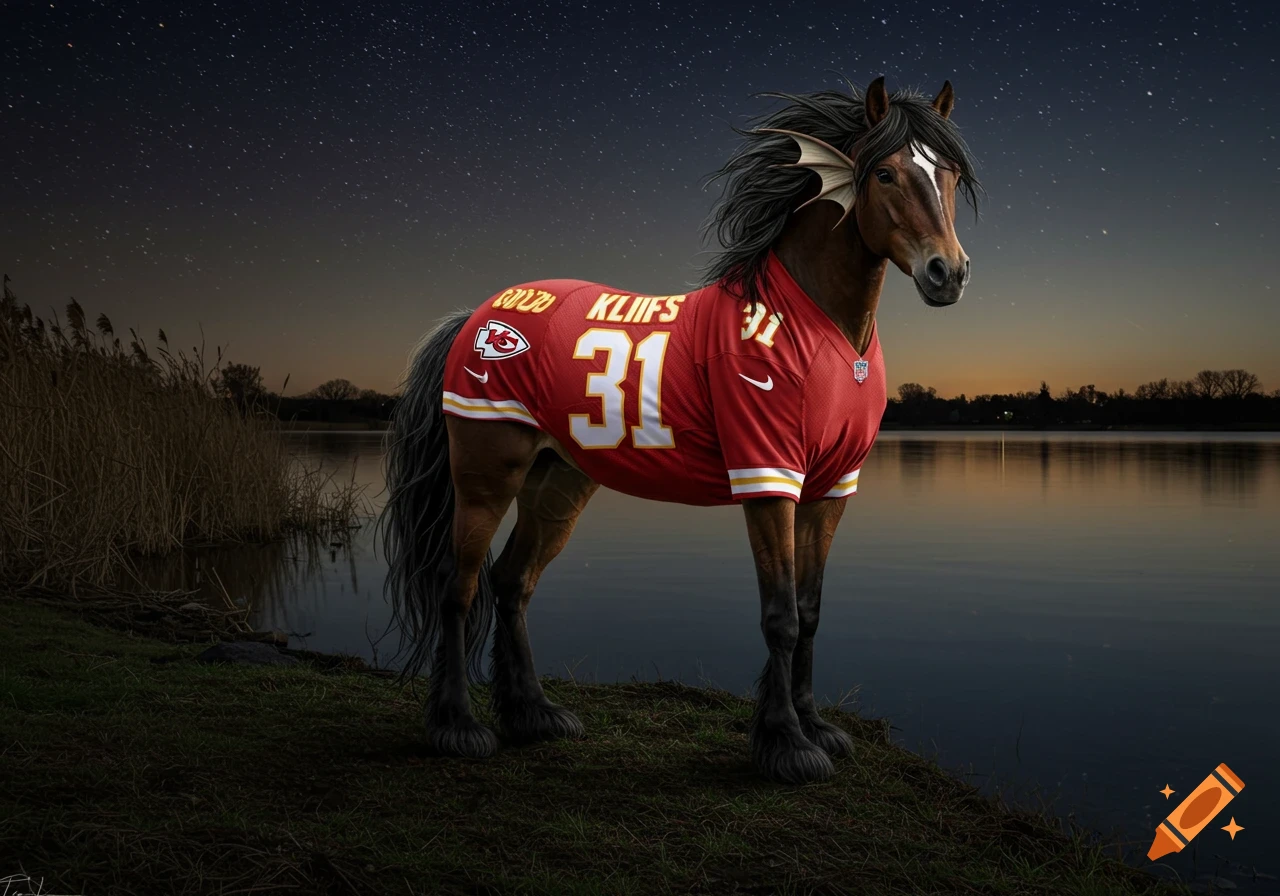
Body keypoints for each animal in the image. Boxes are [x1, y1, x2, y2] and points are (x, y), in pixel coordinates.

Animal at [379, 76, 980, 784]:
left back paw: (534, 715)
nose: (948, 273)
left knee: (512, 582)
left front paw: (814, 729)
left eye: (948, 174)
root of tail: (476, 317)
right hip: (484, 477)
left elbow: (808, 612)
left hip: (559, 483)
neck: (812, 324)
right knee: (459, 585)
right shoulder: (767, 477)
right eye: (884, 172)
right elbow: (779, 615)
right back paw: (457, 727)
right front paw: (786, 745)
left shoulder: (828, 489)